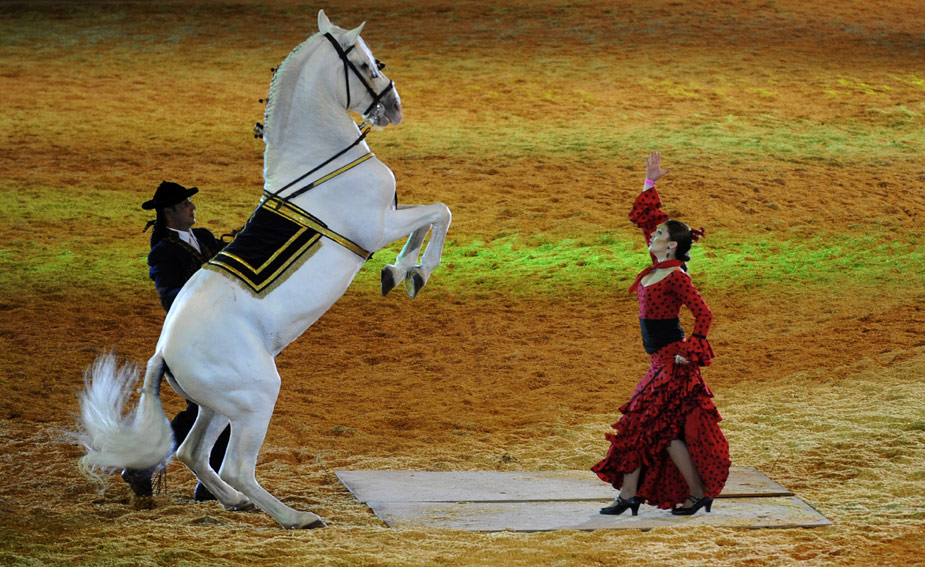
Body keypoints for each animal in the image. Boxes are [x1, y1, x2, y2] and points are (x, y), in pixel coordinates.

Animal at [77, 10, 451, 529]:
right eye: (365, 63)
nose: (393, 108)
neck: (319, 165)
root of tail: (163, 354)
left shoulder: (387, 220)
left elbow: (427, 219)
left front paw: (400, 274)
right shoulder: (377, 227)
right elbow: (439, 213)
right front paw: (413, 273)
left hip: (220, 406)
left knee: (193, 452)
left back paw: (235, 502)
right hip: (256, 397)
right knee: (234, 465)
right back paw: (295, 517)